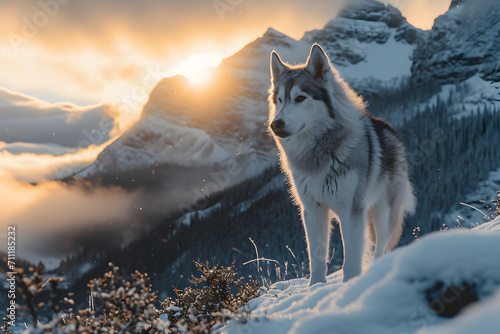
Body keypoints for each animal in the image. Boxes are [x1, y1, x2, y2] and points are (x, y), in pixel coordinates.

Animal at [268, 44, 416, 284]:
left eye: (300, 98)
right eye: (279, 100)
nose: (275, 125)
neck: (318, 154)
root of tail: (390, 129)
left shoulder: (351, 210)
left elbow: (352, 261)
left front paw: (350, 285)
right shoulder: (313, 210)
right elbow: (317, 258)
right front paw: (316, 288)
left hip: (383, 215)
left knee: (381, 249)